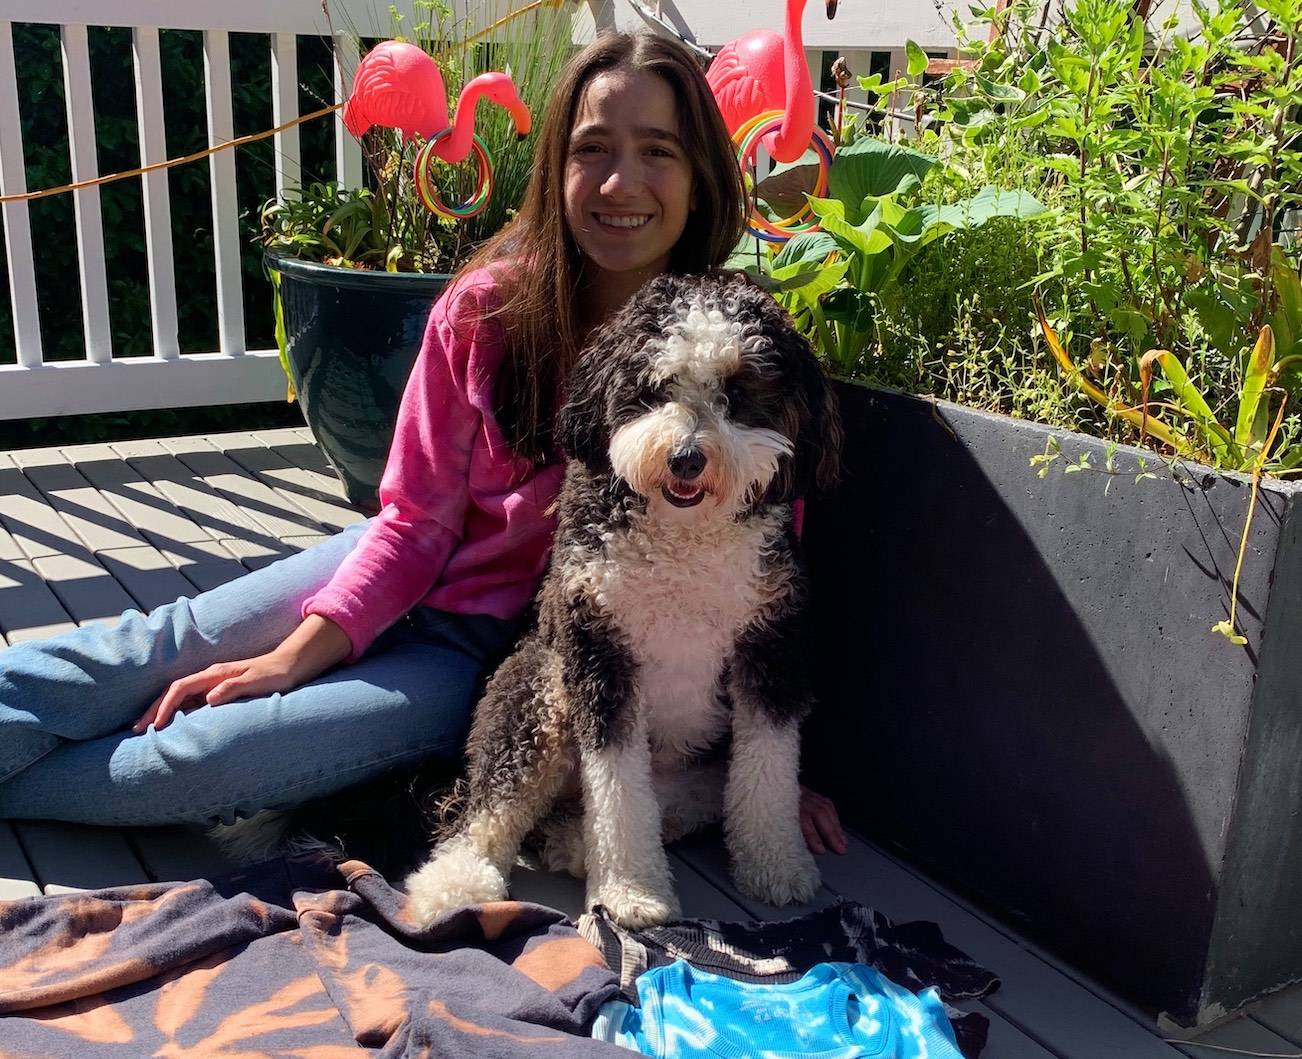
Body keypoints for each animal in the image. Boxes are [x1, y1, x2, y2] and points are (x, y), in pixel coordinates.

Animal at [401, 270, 838, 927]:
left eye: (737, 392)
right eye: (654, 389)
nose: (686, 458)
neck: (684, 541)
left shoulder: (772, 647)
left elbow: (769, 772)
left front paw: (776, 864)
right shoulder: (597, 656)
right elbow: (618, 792)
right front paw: (631, 891)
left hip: (693, 775)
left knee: (658, 806)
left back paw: (573, 842)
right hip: (539, 686)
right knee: (490, 805)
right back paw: (454, 882)